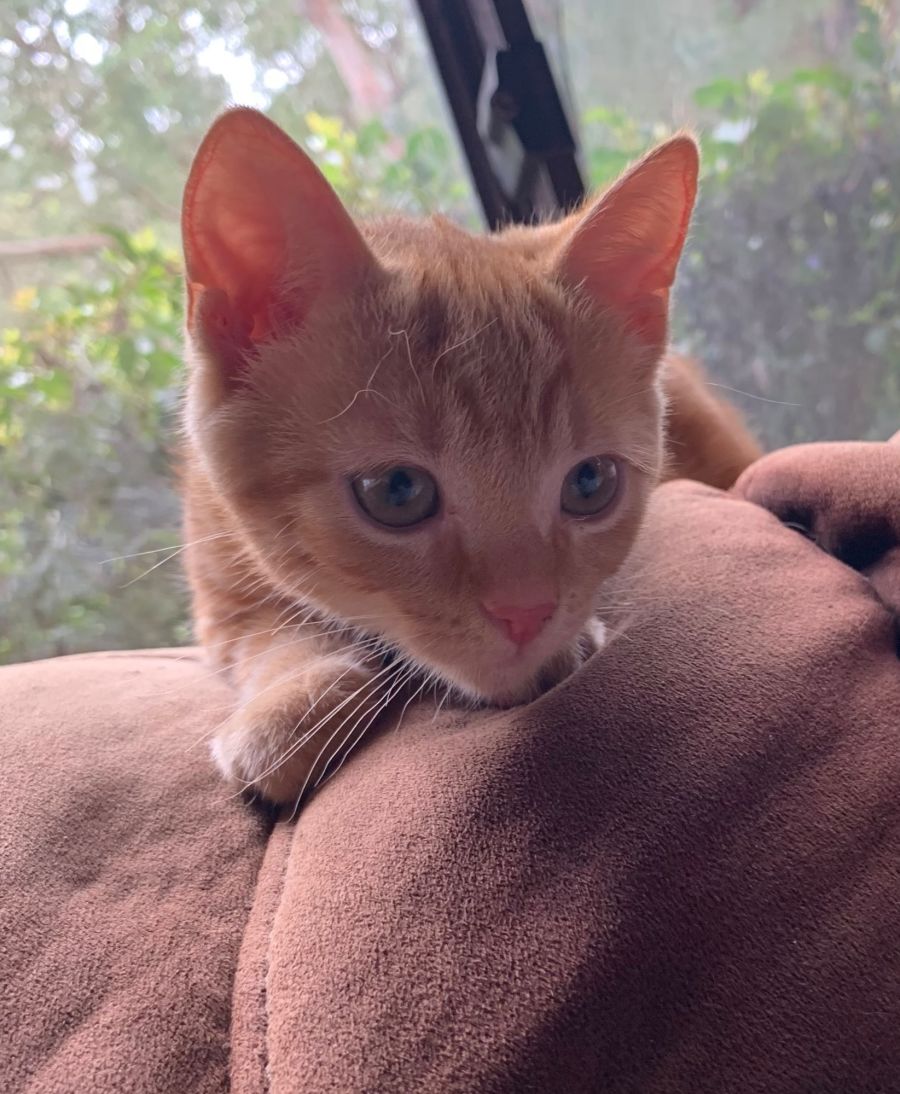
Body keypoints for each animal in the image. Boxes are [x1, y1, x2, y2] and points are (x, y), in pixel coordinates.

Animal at [180, 108, 761, 805]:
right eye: (397, 492)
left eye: (590, 483)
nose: (525, 615)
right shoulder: (218, 597)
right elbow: (266, 634)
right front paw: (290, 699)